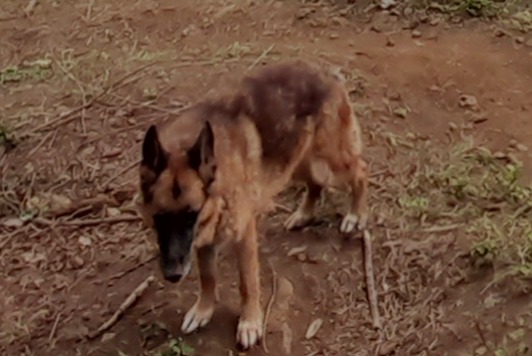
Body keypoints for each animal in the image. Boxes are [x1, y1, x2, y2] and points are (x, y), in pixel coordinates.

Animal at [139, 59, 368, 350]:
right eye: (159, 217)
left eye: (191, 215)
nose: (172, 275)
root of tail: (325, 71)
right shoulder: (206, 239)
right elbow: (207, 276)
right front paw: (203, 310)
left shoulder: (242, 233)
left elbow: (247, 283)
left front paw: (249, 322)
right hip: (297, 164)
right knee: (315, 185)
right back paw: (303, 214)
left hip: (328, 164)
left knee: (360, 170)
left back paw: (356, 214)